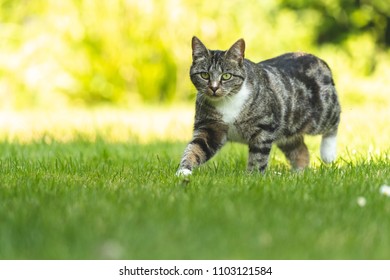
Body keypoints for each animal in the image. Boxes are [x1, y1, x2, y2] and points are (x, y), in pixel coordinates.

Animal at [175, 36, 340, 176]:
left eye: (226, 76)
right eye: (204, 75)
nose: (214, 88)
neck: (227, 102)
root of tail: (318, 60)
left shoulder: (264, 128)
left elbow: (258, 157)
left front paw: (252, 177)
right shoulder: (210, 128)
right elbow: (195, 148)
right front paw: (183, 171)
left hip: (321, 114)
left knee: (334, 120)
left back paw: (328, 153)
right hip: (286, 130)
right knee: (301, 150)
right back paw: (297, 174)